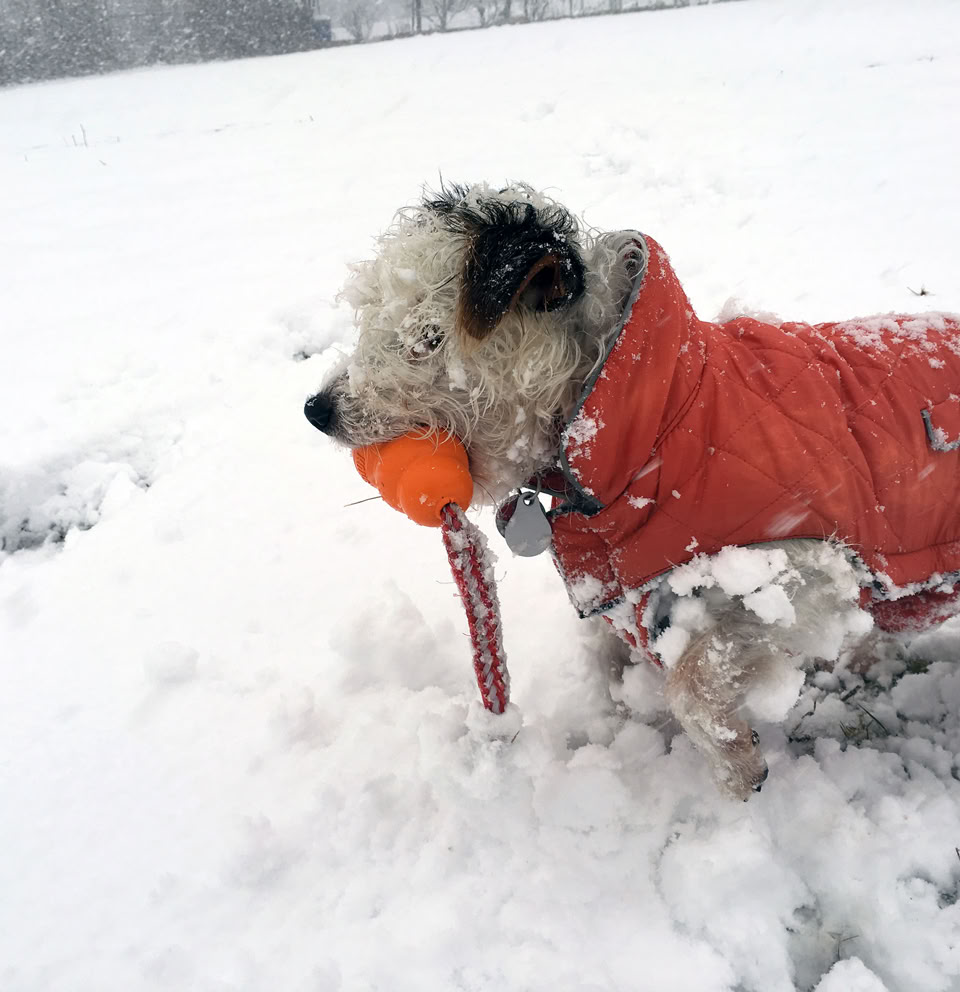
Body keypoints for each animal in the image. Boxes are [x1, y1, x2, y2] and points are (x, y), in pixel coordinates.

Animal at [306, 182, 960, 799]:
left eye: (428, 337)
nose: (316, 410)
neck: (660, 419)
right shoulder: (615, 592)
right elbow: (609, 664)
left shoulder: (811, 570)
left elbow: (692, 678)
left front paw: (738, 770)